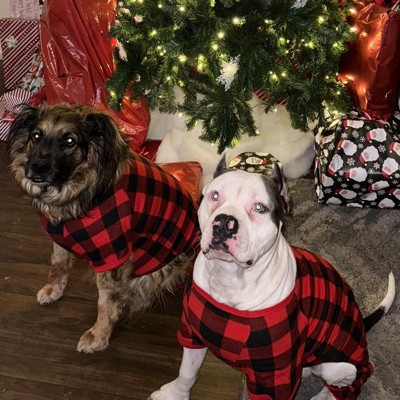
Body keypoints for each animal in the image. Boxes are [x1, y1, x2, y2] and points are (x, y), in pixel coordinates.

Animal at [7, 103, 198, 354]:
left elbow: (105, 301)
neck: (81, 188)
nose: (36, 168)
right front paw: (54, 289)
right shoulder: (60, 237)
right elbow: (58, 263)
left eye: (70, 141)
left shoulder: (113, 253)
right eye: (36, 136)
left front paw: (98, 335)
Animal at [149, 163, 394, 400]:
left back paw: (325, 395)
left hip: (339, 365)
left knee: (351, 382)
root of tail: (361, 323)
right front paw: (175, 394)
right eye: (215, 196)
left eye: (260, 208)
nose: (225, 222)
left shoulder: (274, 373)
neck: (229, 279)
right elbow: (187, 371)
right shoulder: (192, 333)